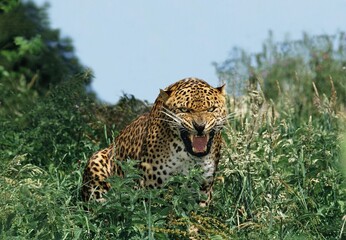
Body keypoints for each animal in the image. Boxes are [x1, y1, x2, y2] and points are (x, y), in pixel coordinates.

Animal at [81, 78, 227, 205]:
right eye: (184, 110)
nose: (200, 127)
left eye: (211, 109)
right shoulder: (151, 187)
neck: (187, 156)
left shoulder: (203, 189)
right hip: (96, 161)